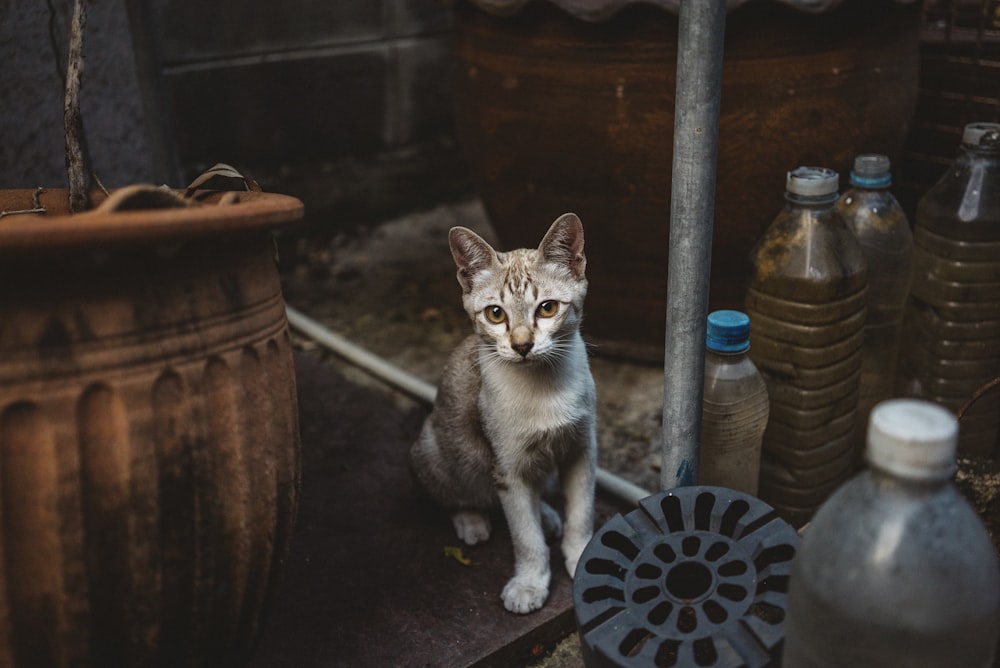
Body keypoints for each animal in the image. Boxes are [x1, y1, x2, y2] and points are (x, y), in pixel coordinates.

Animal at [410, 214, 596, 616]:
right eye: (496, 313)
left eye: (547, 308)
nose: (522, 345)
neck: (544, 388)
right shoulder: (507, 468)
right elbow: (525, 536)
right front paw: (530, 583)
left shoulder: (582, 449)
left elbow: (582, 513)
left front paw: (581, 555)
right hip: (431, 448)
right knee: (458, 494)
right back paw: (472, 520)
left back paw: (547, 515)